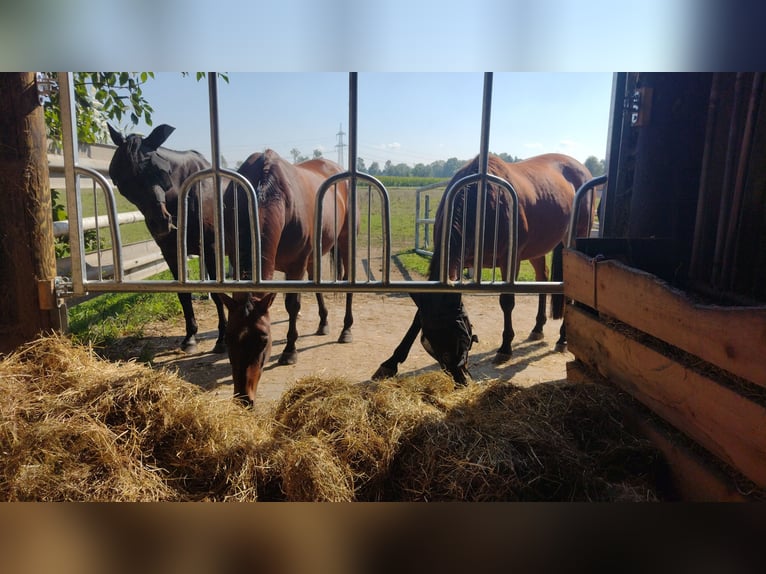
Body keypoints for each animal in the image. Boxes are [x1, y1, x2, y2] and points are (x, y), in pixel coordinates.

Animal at [108, 124, 227, 354]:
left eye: (159, 171)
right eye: (122, 179)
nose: (160, 223)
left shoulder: (211, 249)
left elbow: (218, 293)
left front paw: (222, 339)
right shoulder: (172, 253)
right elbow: (183, 294)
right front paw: (190, 337)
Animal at [219, 149, 356, 407]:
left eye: (264, 340)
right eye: (229, 338)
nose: (244, 398)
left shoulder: (295, 266)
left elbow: (292, 305)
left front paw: (290, 351)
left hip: (344, 240)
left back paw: (346, 330)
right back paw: (324, 323)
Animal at [372, 153, 593, 384]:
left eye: (461, 338)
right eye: (431, 345)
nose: (460, 378)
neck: (481, 203)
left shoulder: (509, 260)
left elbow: (507, 302)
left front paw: (505, 348)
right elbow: (419, 314)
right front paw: (390, 363)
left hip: (574, 239)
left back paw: (562, 339)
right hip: (538, 248)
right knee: (542, 278)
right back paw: (538, 328)